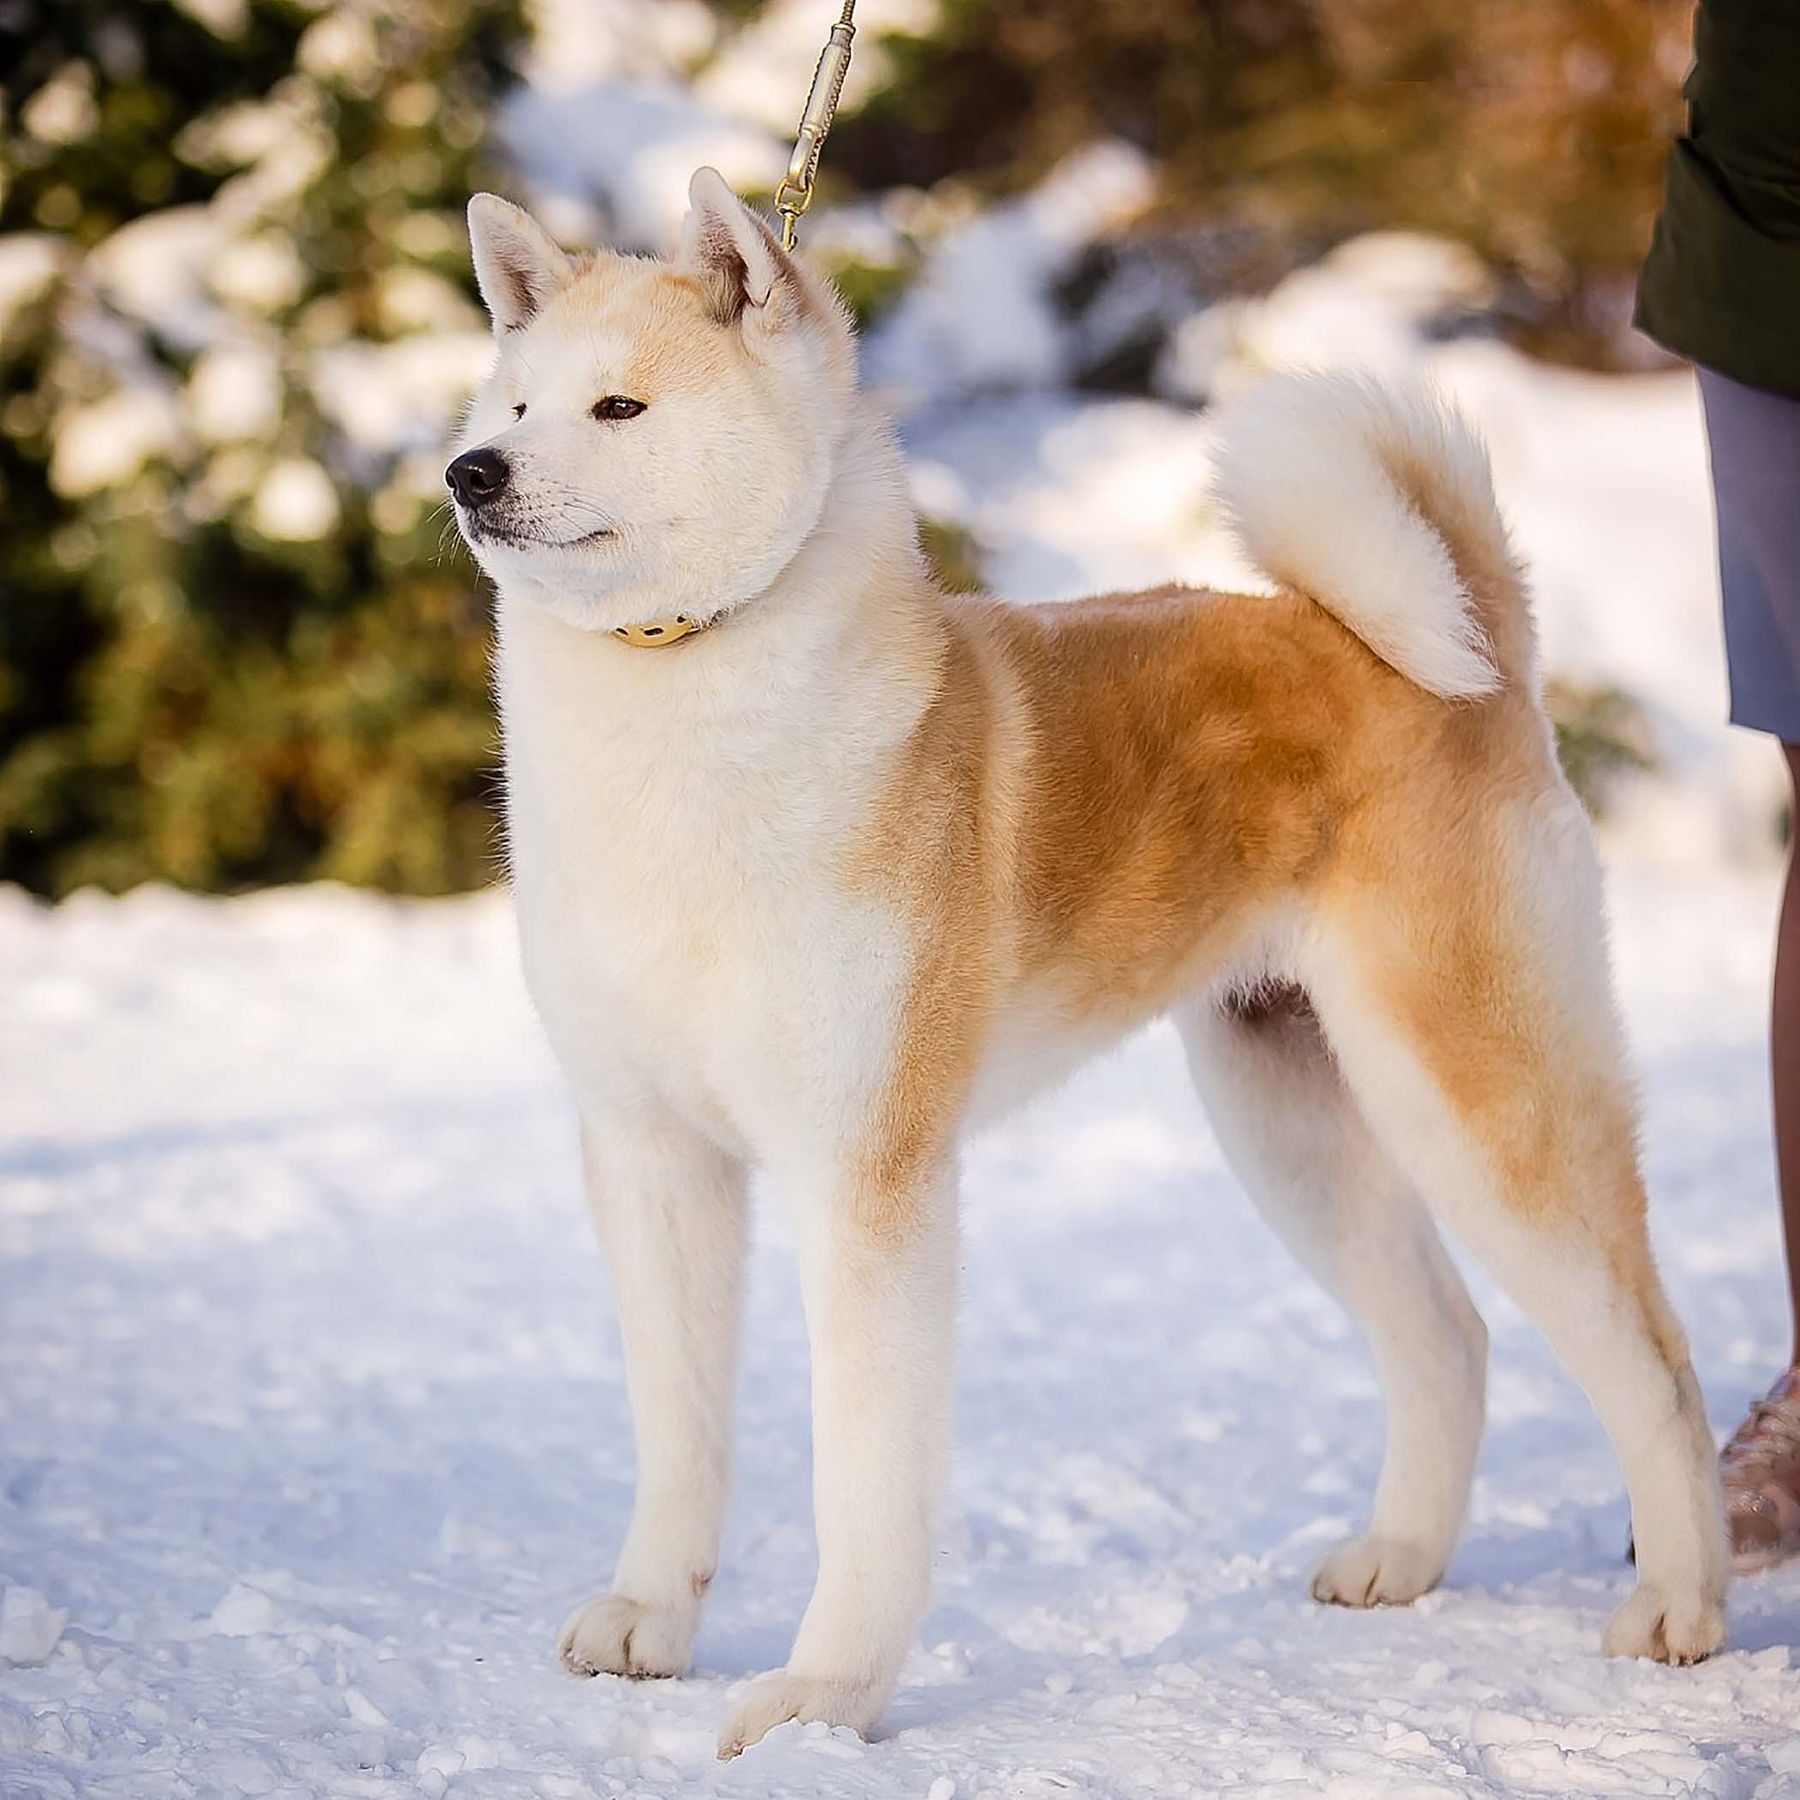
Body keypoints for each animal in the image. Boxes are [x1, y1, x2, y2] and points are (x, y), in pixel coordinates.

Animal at [446, 171, 1728, 1756]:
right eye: (510, 400)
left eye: (617, 407)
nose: (470, 473)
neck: (680, 700)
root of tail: (1462, 654)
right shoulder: (649, 1153)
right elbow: (680, 1430)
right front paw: (651, 1621)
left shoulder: (868, 1176)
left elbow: (863, 1477)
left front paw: (826, 1696)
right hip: (1293, 1121)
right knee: (1450, 1340)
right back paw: (1401, 1559)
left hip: (1478, 1101)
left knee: (1654, 1366)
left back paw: (1680, 1606)